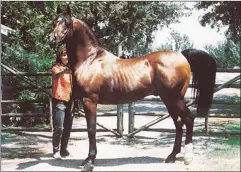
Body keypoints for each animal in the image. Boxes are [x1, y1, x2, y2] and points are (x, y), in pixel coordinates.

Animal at [49, 5, 217, 171]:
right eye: (54, 22)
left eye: (67, 23)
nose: (52, 39)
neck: (90, 60)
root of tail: (181, 56)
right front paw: (87, 160)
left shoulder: (89, 101)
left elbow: (91, 130)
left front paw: (89, 162)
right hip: (169, 101)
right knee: (179, 123)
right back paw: (172, 156)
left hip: (175, 99)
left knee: (188, 119)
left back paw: (187, 157)